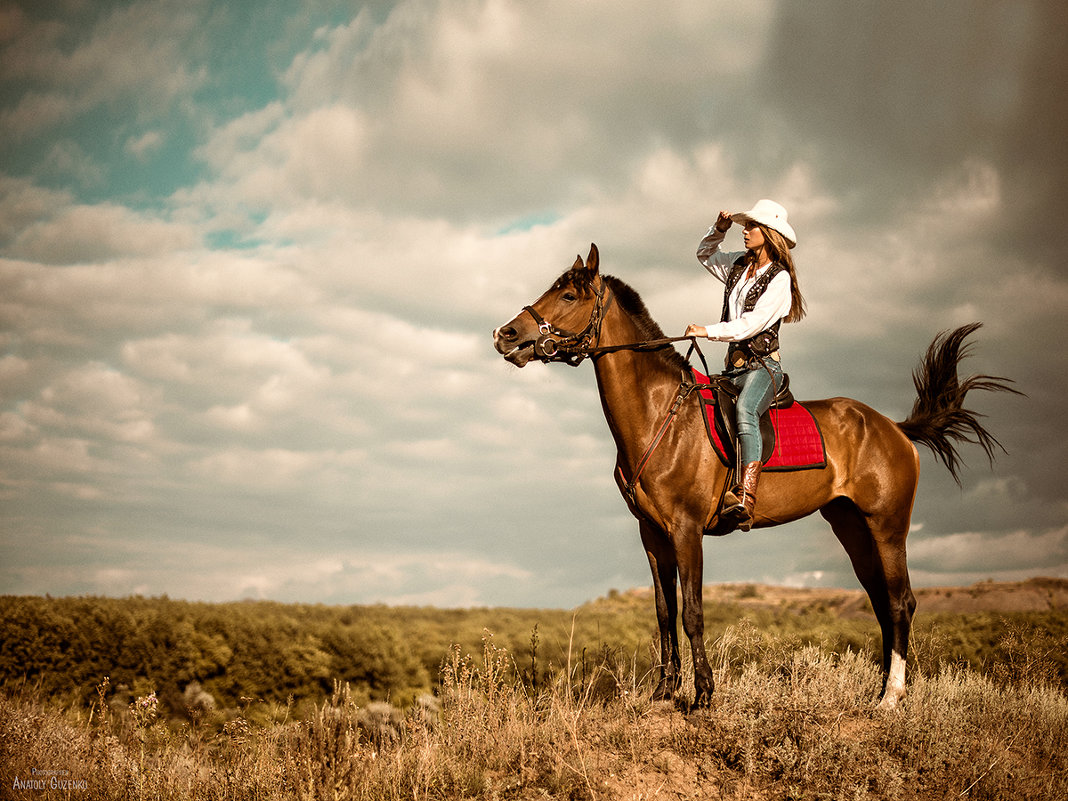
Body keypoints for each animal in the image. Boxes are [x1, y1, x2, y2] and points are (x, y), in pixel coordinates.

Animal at [491, 243, 1016, 709]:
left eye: (568, 295)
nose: (505, 335)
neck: (660, 412)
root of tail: (893, 427)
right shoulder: (652, 534)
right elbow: (663, 613)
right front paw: (664, 692)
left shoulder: (686, 531)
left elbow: (693, 612)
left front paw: (703, 694)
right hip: (851, 528)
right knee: (883, 603)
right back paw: (880, 692)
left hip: (888, 528)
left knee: (902, 602)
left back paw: (891, 698)